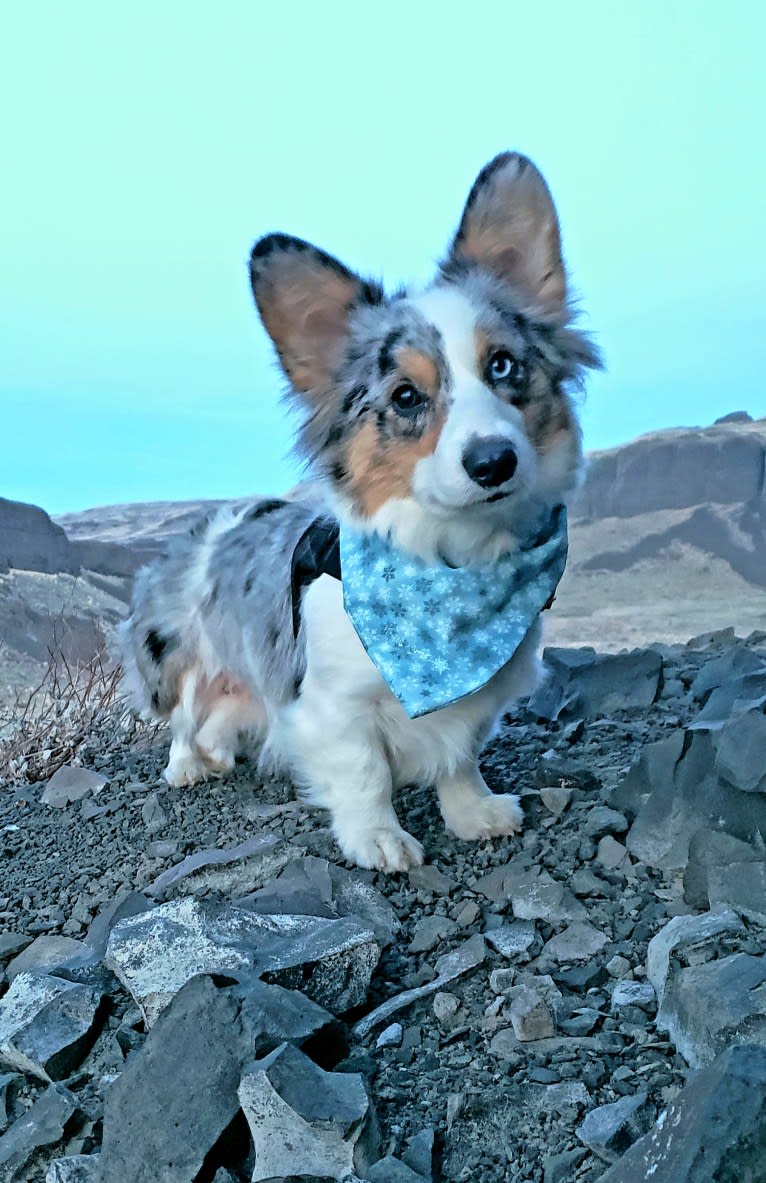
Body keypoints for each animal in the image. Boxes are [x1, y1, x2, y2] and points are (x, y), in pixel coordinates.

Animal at [119, 150, 600, 870]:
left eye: (503, 364)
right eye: (405, 396)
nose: (494, 462)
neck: (450, 569)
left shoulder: (473, 700)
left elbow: (459, 759)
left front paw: (476, 813)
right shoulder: (333, 707)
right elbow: (364, 773)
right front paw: (380, 839)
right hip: (177, 660)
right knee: (182, 718)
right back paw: (187, 765)